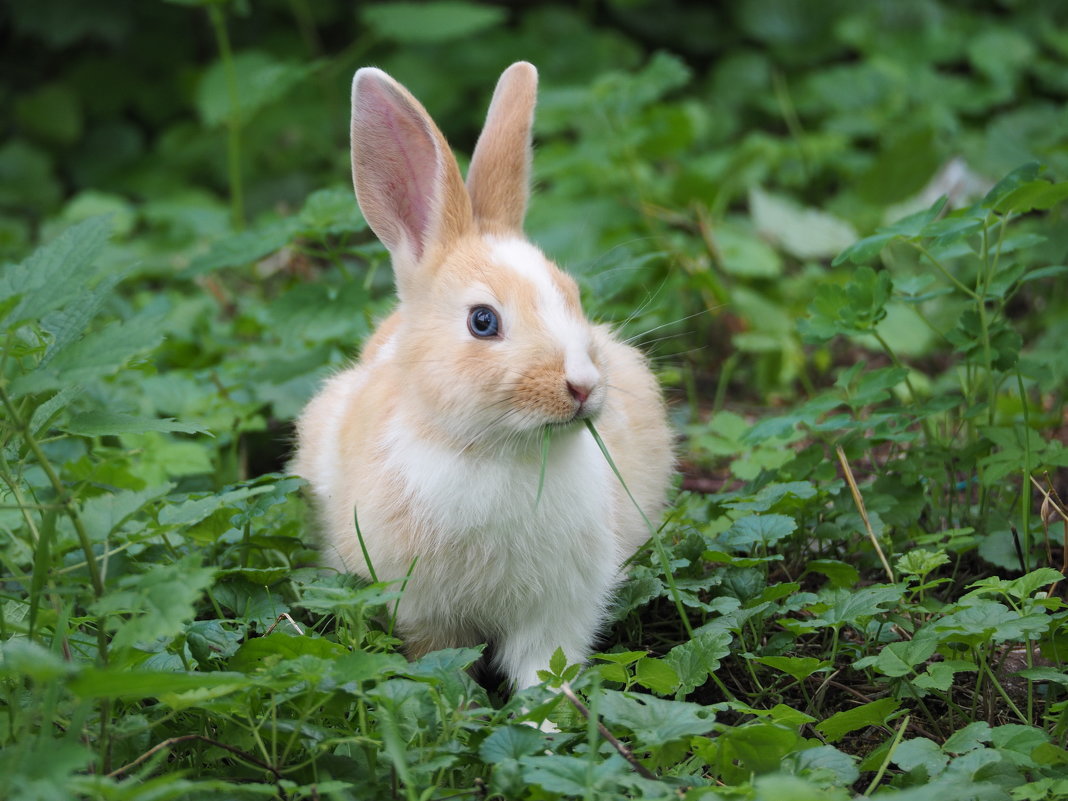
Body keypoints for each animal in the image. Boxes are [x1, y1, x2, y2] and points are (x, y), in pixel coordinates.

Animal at [292, 59, 670, 692]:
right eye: (483, 321)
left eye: (572, 296)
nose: (583, 386)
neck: (497, 452)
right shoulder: (424, 611)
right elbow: (444, 663)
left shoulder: (560, 610)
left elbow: (546, 669)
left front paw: (550, 716)